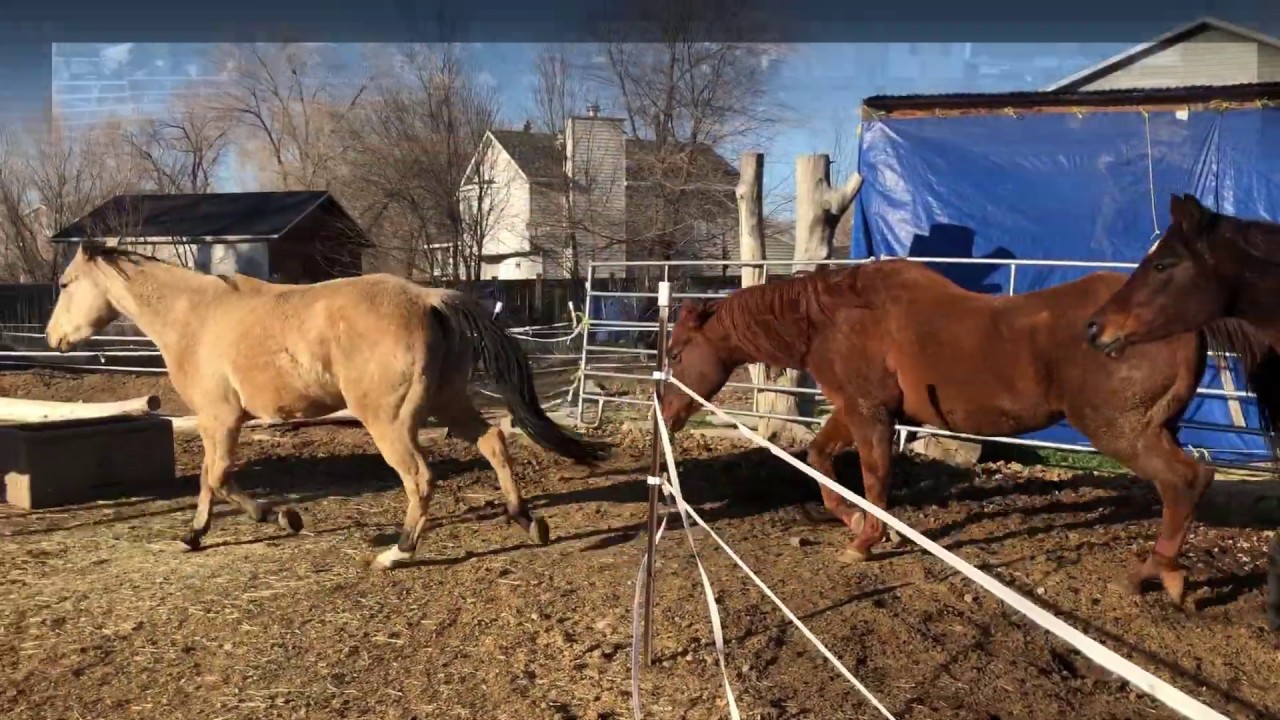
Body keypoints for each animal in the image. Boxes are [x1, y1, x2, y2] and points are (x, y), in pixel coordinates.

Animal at [44, 243, 604, 570]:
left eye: (66, 283)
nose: (53, 339)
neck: (196, 318)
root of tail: (430, 298)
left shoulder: (219, 417)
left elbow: (218, 477)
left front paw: (279, 518)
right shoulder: (217, 421)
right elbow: (208, 479)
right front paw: (194, 535)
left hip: (391, 422)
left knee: (420, 477)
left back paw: (397, 552)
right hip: (448, 404)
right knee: (493, 442)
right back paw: (527, 521)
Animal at [660, 258, 1280, 605]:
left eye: (676, 351)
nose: (665, 414)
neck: (840, 315)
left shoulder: (869, 412)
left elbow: (874, 476)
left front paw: (865, 540)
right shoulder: (855, 410)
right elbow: (819, 459)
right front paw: (854, 523)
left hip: (1122, 431)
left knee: (1184, 482)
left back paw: (1155, 574)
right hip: (1155, 425)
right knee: (1188, 483)